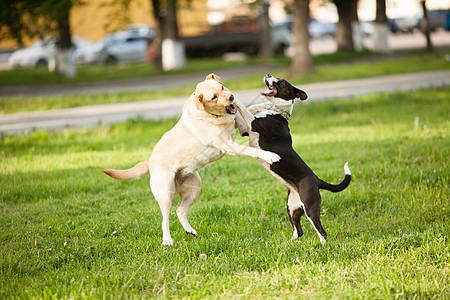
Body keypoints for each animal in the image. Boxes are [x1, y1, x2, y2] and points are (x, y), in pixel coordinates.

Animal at [236, 74, 352, 244]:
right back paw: (289, 243)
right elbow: (247, 110)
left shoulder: (254, 124)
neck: (277, 112)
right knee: (299, 230)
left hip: (310, 207)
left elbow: (242, 106)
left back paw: (323, 245)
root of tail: (317, 180)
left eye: (283, 82)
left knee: (322, 231)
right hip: (292, 207)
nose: (268, 74)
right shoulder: (245, 129)